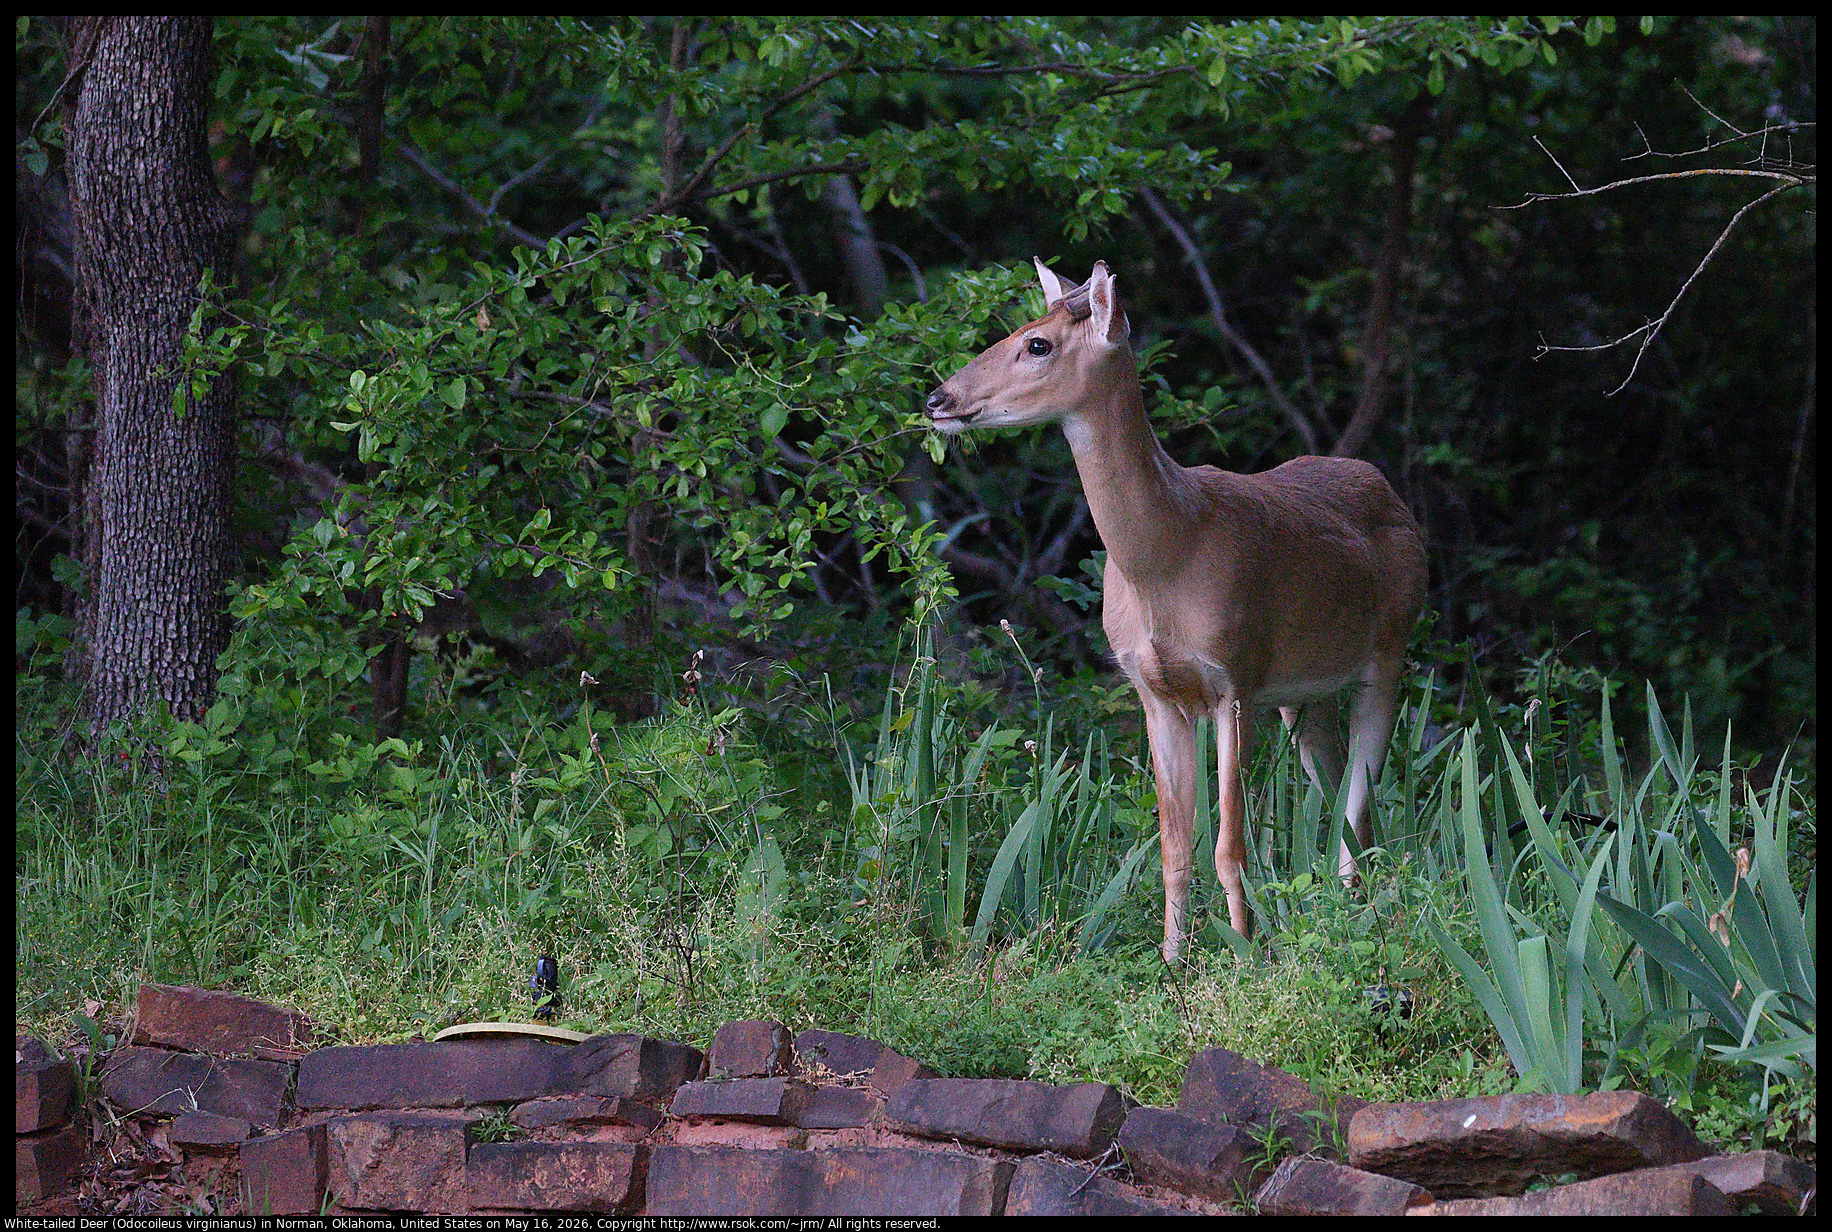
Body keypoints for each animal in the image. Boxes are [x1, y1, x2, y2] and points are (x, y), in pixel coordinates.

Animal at [925, 259, 1428, 963]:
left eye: (1037, 344)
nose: (937, 399)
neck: (1167, 553)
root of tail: (1394, 496)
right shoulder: (1155, 690)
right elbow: (1172, 845)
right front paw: (1172, 959)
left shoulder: (1234, 679)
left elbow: (1228, 843)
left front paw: (1244, 952)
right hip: (1304, 694)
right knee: (1340, 797)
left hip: (1389, 651)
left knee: (1360, 795)